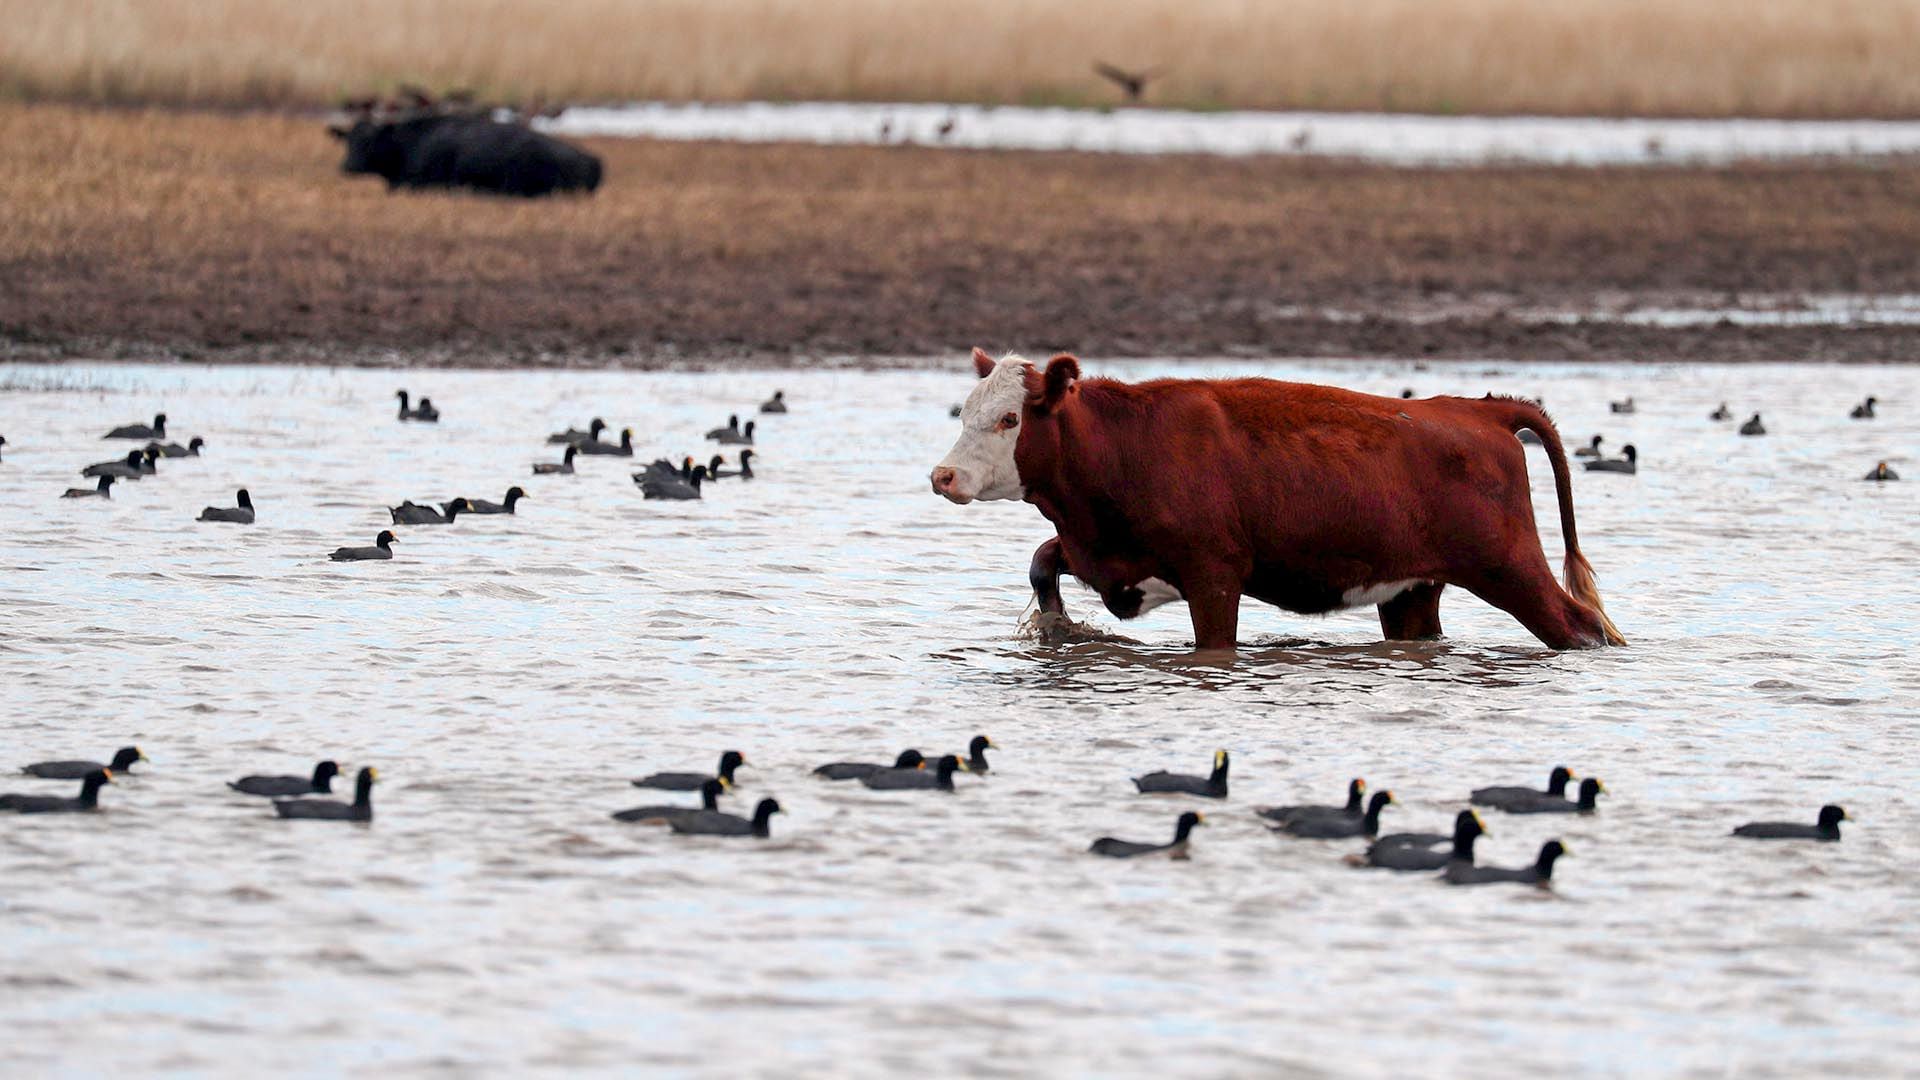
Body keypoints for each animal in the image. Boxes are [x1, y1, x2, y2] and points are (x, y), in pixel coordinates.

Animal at [929, 345, 1620, 645]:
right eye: (966, 410)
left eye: (1011, 419)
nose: (944, 476)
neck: (1125, 445)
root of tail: (1478, 411)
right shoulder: (1105, 553)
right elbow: (1043, 563)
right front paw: (1056, 626)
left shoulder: (1214, 574)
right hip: (1413, 588)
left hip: (1508, 565)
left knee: (1579, 625)